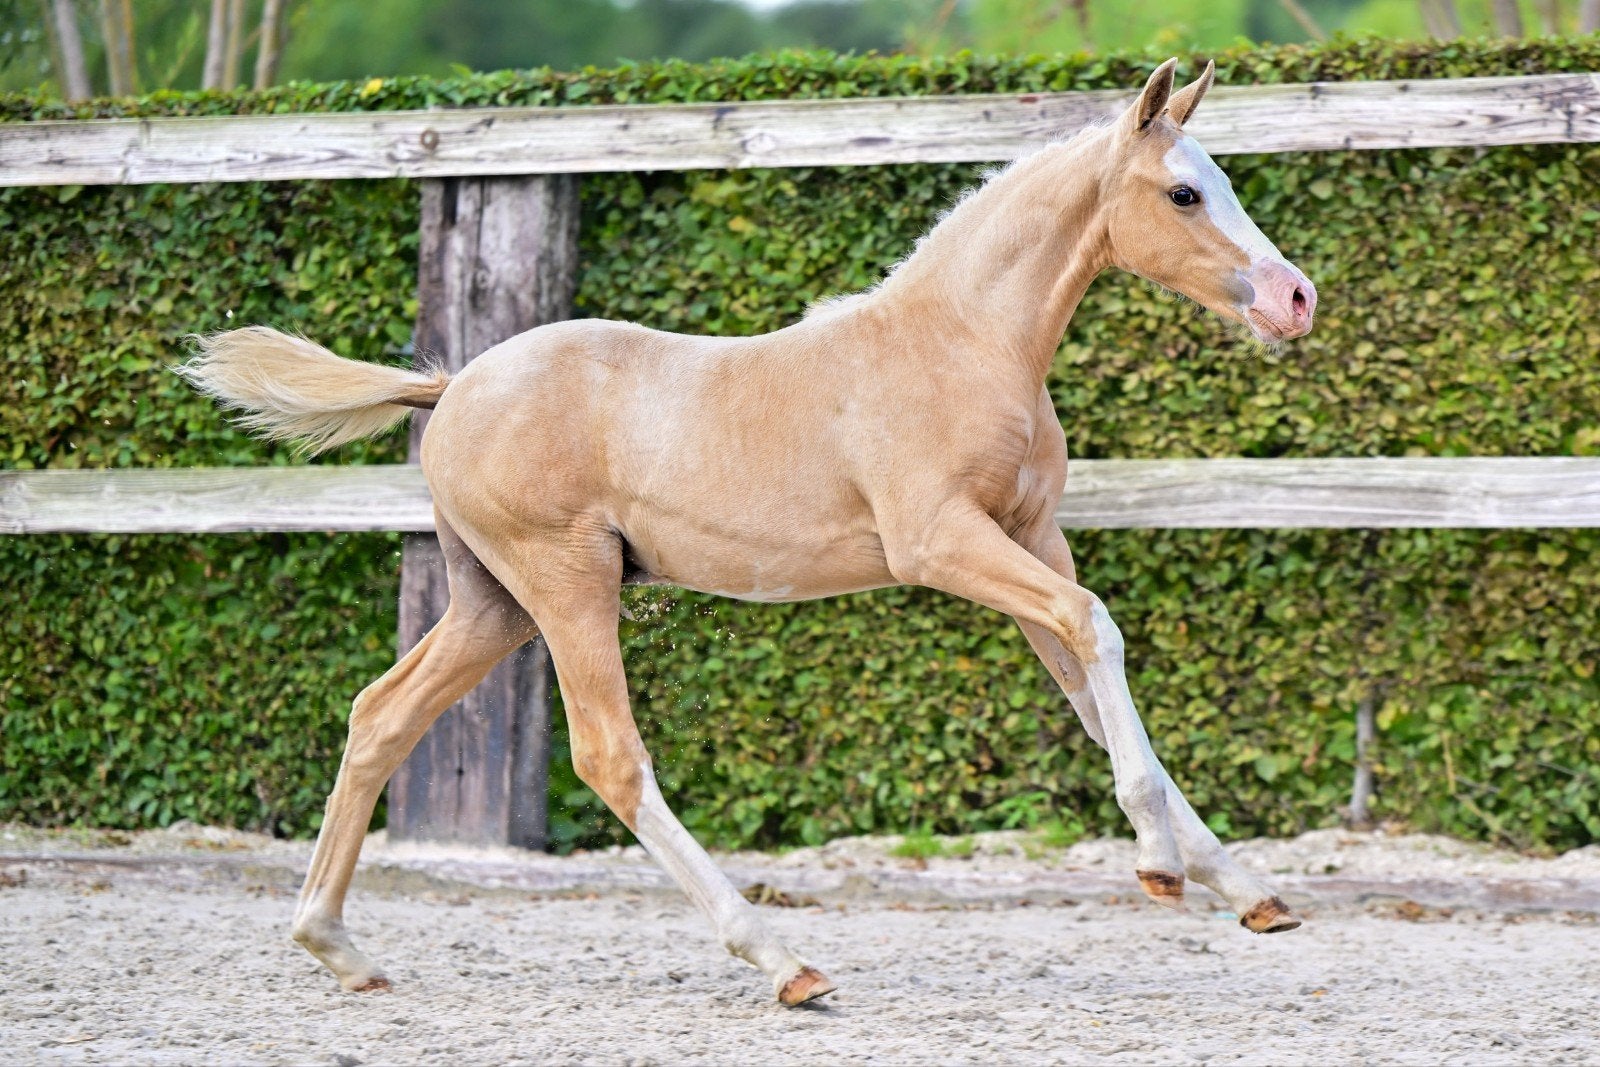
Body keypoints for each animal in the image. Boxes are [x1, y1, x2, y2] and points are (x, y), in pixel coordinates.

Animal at [178, 58, 1316, 1006]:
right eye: (1183, 192)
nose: (1295, 299)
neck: (961, 342)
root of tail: (452, 384)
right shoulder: (943, 543)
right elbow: (1096, 627)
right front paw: (1160, 865)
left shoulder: (1032, 536)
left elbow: (1088, 681)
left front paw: (1246, 887)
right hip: (566, 584)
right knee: (609, 756)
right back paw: (784, 962)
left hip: (493, 601)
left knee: (380, 714)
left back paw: (337, 945)